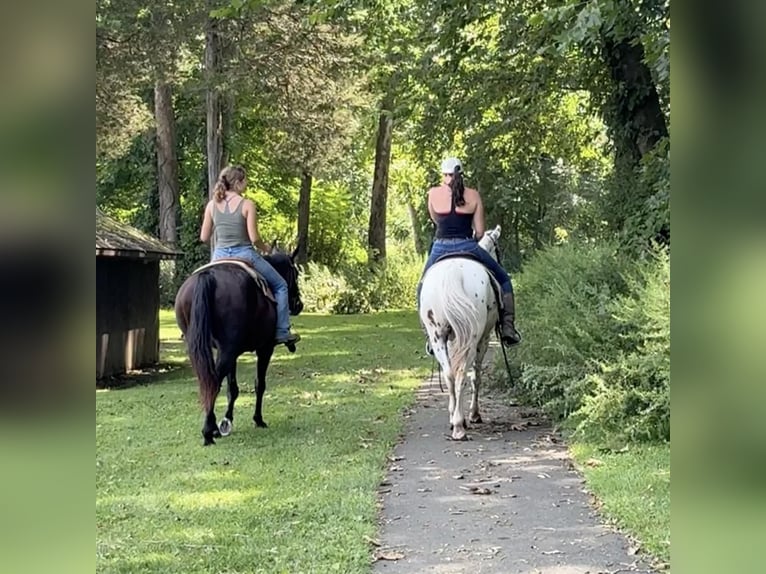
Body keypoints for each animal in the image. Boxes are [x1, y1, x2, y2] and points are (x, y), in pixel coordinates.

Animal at [176, 251, 304, 446]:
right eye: (295, 273)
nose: (298, 304)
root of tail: (208, 276)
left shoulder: (231, 352)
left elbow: (232, 389)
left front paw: (226, 421)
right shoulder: (265, 349)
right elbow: (260, 384)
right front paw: (258, 419)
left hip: (206, 349)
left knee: (208, 381)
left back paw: (212, 427)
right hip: (230, 350)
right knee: (213, 381)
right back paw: (208, 431)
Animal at [420, 225, 504, 440]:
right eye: (497, 251)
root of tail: (452, 273)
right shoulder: (484, 339)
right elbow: (477, 377)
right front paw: (474, 415)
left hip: (438, 338)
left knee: (450, 375)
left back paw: (455, 421)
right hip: (472, 340)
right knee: (463, 376)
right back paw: (460, 424)